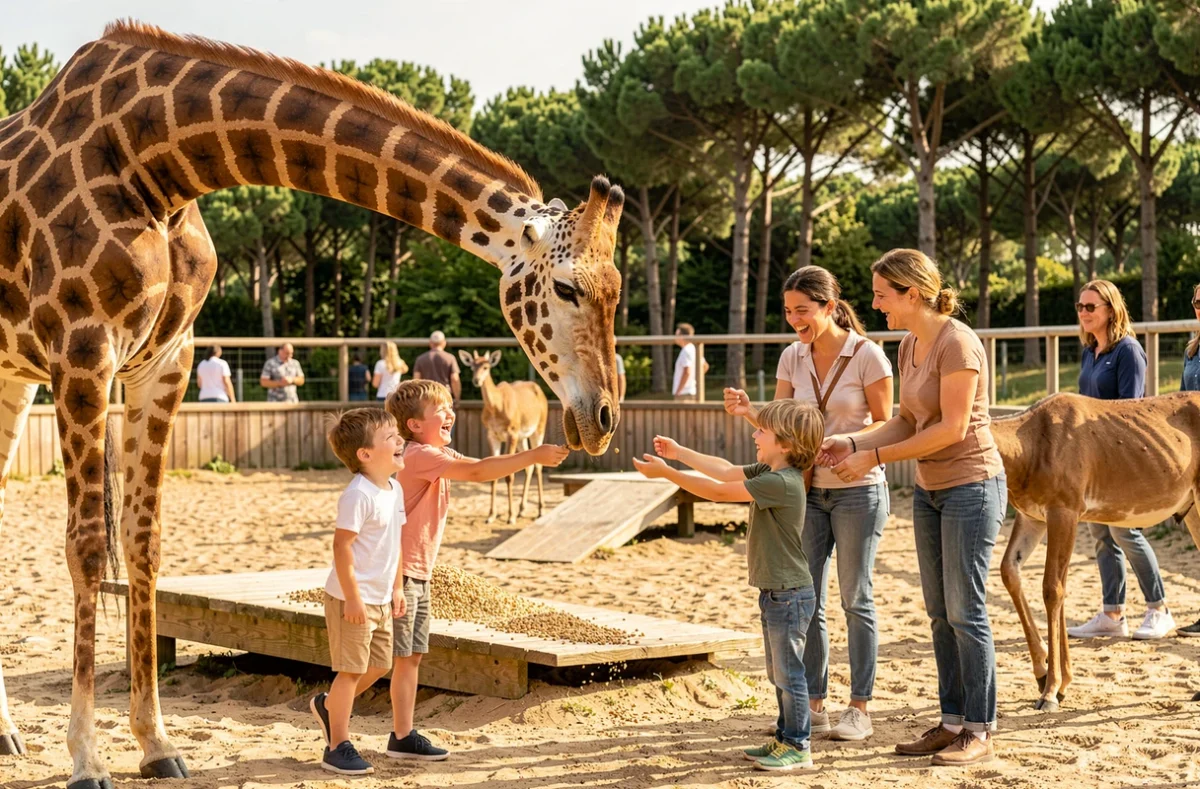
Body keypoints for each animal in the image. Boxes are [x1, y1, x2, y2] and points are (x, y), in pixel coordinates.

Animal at [459, 349, 549, 524]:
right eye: (472, 366)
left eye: (486, 367)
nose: (476, 380)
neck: (497, 407)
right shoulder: (492, 435)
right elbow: (494, 475)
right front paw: (491, 515)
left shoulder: (511, 434)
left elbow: (509, 476)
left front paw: (510, 516)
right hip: (523, 437)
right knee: (529, 466)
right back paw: (522, 509)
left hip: (538, 429)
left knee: (538, 466)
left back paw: (541, 510)